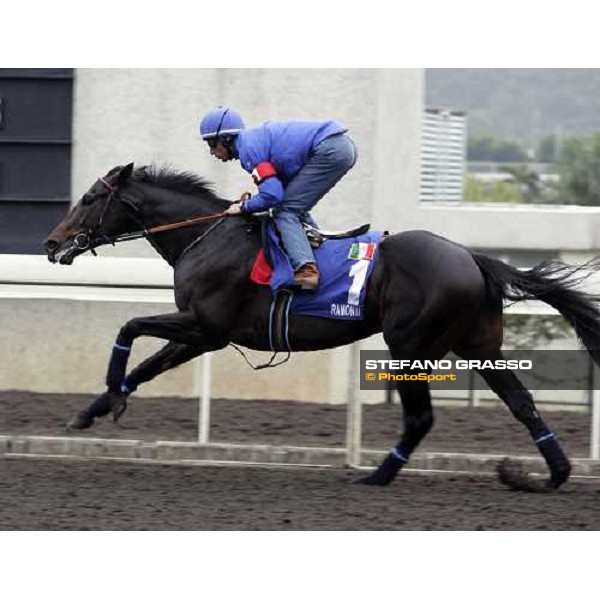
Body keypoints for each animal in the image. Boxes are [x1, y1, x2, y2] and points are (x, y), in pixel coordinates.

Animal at [44, 163, 600, 492]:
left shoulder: (206, 327)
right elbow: (145, 366)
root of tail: (473, 257)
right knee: (521, 402)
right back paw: (552, 475)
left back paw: (377, 475)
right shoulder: (201, 336)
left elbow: (130, 326)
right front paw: (95, 409)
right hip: (478, 346)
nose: (52, 243)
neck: (208, 237)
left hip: (409, 345)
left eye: (90, 198)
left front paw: (107, 398)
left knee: (421, 417)